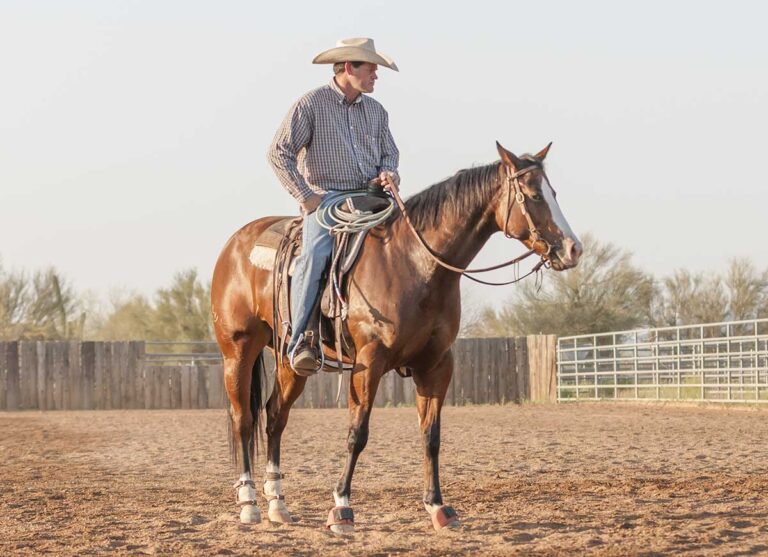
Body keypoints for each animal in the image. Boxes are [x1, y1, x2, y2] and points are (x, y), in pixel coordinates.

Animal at [211, 142, 582, 532]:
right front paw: (341, 507)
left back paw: (278, 505)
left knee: (274, 418)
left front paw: (438, 507)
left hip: (290, 361)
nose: (573, 249)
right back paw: (249, 504)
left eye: (553, 193)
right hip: (238, 351)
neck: (414, 263)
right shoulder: (368, 363)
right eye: (533, 195)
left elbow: (431, 436)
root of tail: (236, 244)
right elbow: (357, 433)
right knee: (244, 420)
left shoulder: (437, 364)